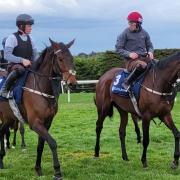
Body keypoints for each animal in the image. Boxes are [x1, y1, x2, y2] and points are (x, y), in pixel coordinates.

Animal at [0, 38, 76, 179]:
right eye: (60, 59)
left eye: (72, 58)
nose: (72, 83)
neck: (41, 89)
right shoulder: (35, 123)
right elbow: (52, 142)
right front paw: (57, 171)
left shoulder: (46, 123)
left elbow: (41, 145)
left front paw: (38, 169)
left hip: (8, 118)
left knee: (1, 131)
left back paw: (1, 160)